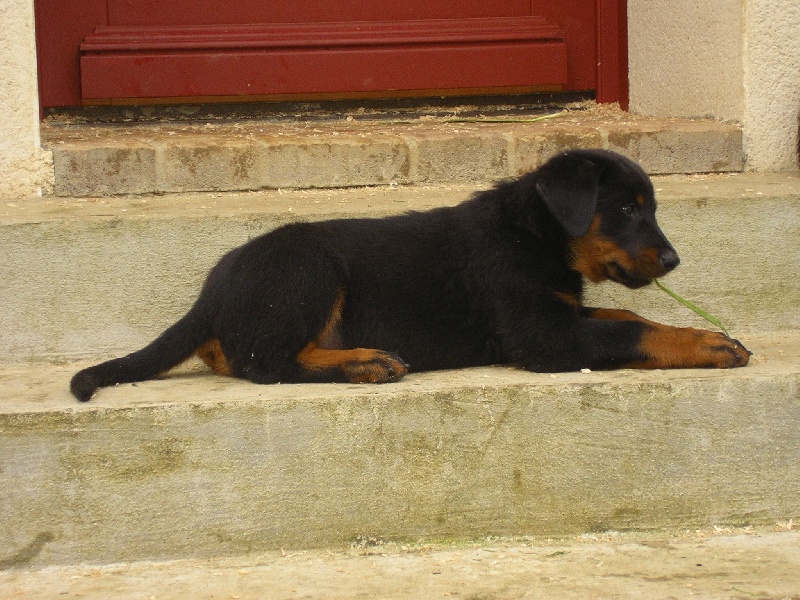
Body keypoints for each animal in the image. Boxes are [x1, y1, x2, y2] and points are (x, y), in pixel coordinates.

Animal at [69, 150, 752, 404]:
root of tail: (212, 288)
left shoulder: (560, 311)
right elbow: (632, 332)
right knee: (268, 361)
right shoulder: (542, 334)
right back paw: (364, 362)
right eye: (628, 210)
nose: (674, 262)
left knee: (238, 353)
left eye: (649, 207)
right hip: (308, 266)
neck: (537, 234)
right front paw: (711, 342)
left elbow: (628, 316)